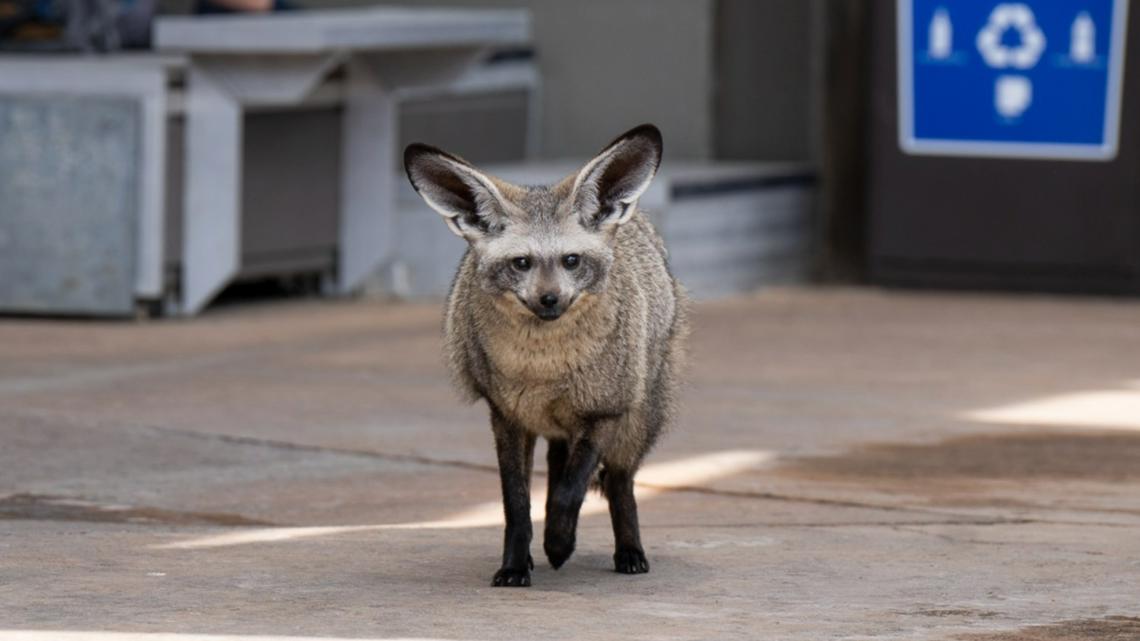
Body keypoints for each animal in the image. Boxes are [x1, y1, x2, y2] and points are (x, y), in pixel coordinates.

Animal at [403, 123, 684, 583]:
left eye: (571, 260)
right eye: (521, 263)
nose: (549, 300)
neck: (544, 372)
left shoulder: (602, 413)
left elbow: (570, 493)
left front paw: (559, 543)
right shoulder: (507, 417)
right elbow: (517, 504)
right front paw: (516, 565)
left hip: (638, 418)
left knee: (619, 482)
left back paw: (628, 551)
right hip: (556, 428)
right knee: (556, 469)